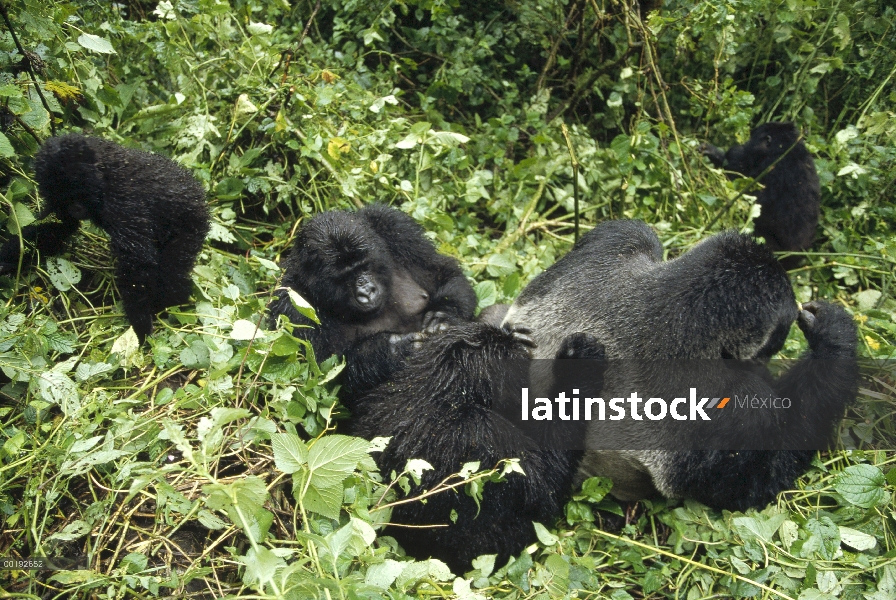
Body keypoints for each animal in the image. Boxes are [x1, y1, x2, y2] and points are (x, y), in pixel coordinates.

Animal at [0, 135, 209, 342]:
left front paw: (141, 327)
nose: (75, 208)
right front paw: (6, 258)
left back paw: (173, 304)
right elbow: (56, 229)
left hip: (192, 224)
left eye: (77, 190)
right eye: (63, 195)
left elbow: (137, 262)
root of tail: (199, 191)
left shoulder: (122, 202)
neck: (104, 173)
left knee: (172, 271)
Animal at [266, 206, 480, 398]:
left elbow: (443, 272)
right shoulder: (290, 303)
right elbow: (322, 379)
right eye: (344, 277)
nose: (367, 291)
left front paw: (443, 316)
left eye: (364, 266)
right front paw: (394, 350)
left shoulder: (395, 225)